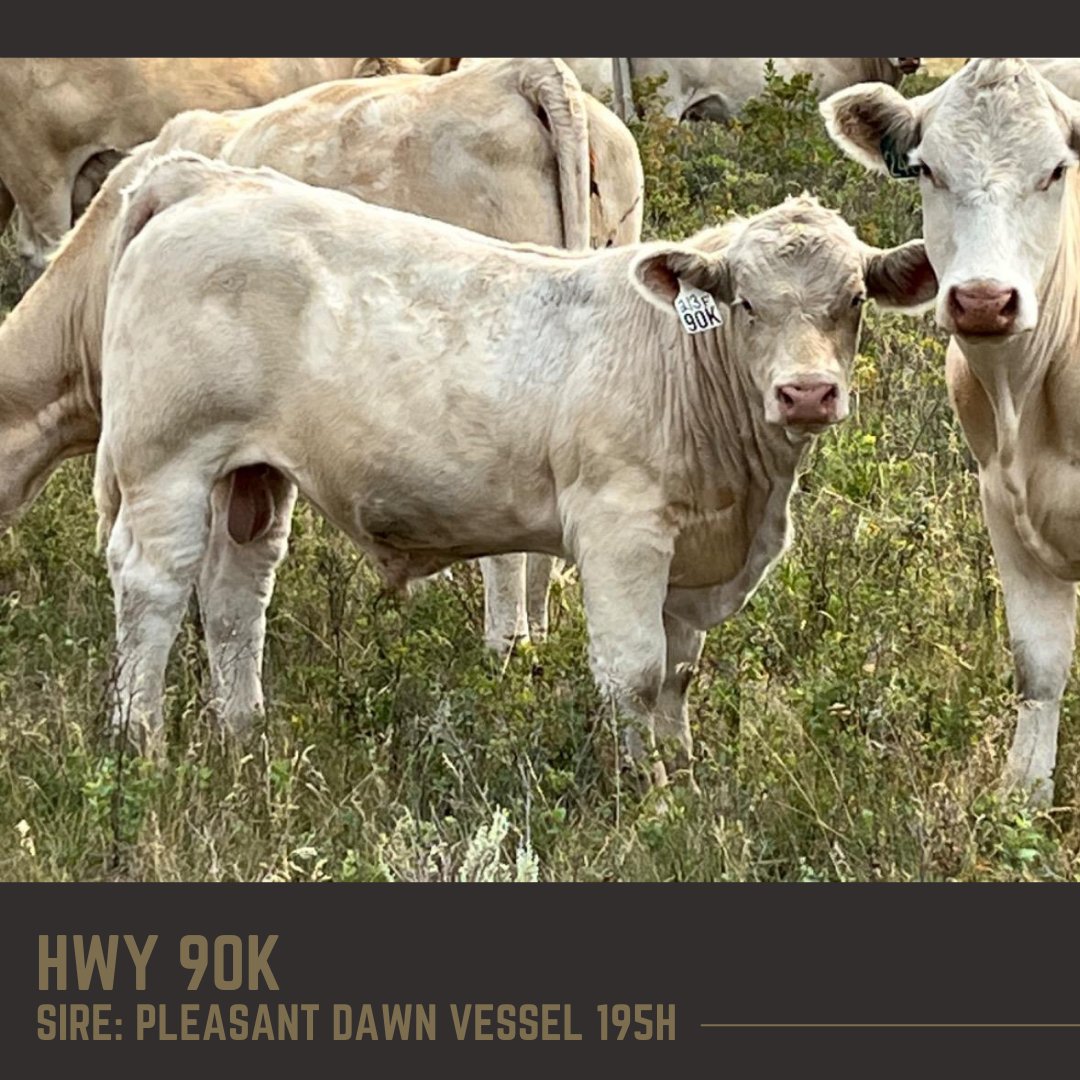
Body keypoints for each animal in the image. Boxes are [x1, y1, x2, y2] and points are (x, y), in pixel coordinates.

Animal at [94, 152, 937, 781]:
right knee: (154, 587)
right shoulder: (621, 530)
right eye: (747, 305)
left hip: (253, 475)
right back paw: (142, 750)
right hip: (167, 462)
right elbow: (634, 671)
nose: (807, 392)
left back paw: (244, 737)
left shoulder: (690, 556)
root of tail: (209, 181)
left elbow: (676, 674)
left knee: (236, 596)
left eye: (854, 299)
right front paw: (648, 795)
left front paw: (685, 778)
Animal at [822, 57, 1080, 806]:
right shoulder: (1002, 503)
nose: (984, 300)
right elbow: (1039, 663)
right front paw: (1023, 796)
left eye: (1056, 170)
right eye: (929, 169)